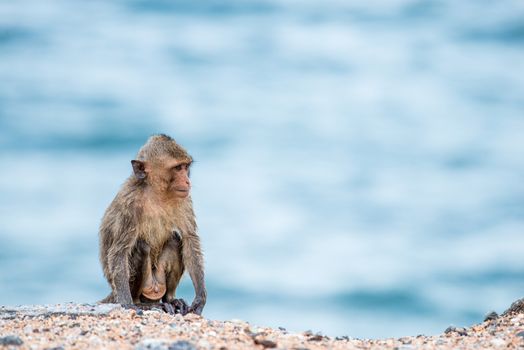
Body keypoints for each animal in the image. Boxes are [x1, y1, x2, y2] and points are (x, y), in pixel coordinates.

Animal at [98, 134, 207, 314]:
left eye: (186, 167)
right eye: (178, 168)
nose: (187, 182)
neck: (156, 193)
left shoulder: (184, 199)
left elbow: (189, 238)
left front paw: (200, 298)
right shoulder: (129, 205)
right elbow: (119, 251)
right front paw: (127, 303)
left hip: (158, 280)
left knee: (174, 240)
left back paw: (171, 299)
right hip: (144, 286)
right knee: (141, 246)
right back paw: (140, 303)